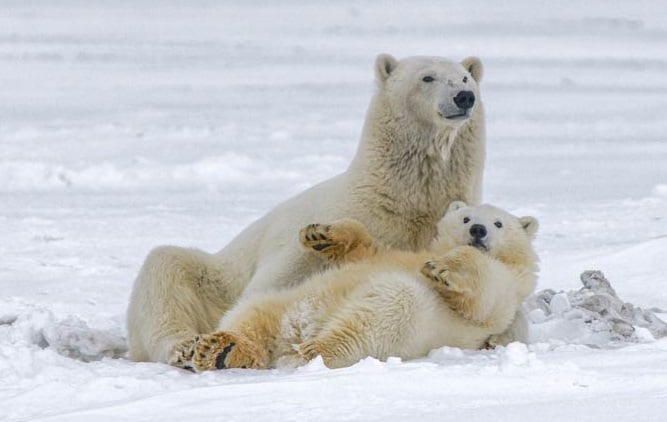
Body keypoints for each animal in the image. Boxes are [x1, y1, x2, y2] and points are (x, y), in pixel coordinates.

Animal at [128, 52, 488, 362]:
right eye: (427, 77)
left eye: (465, 77)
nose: (464, 97)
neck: (401, 201)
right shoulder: (326, 228)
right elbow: (275, 282)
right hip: (216, 279)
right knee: (165, 269)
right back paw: (182, 345)